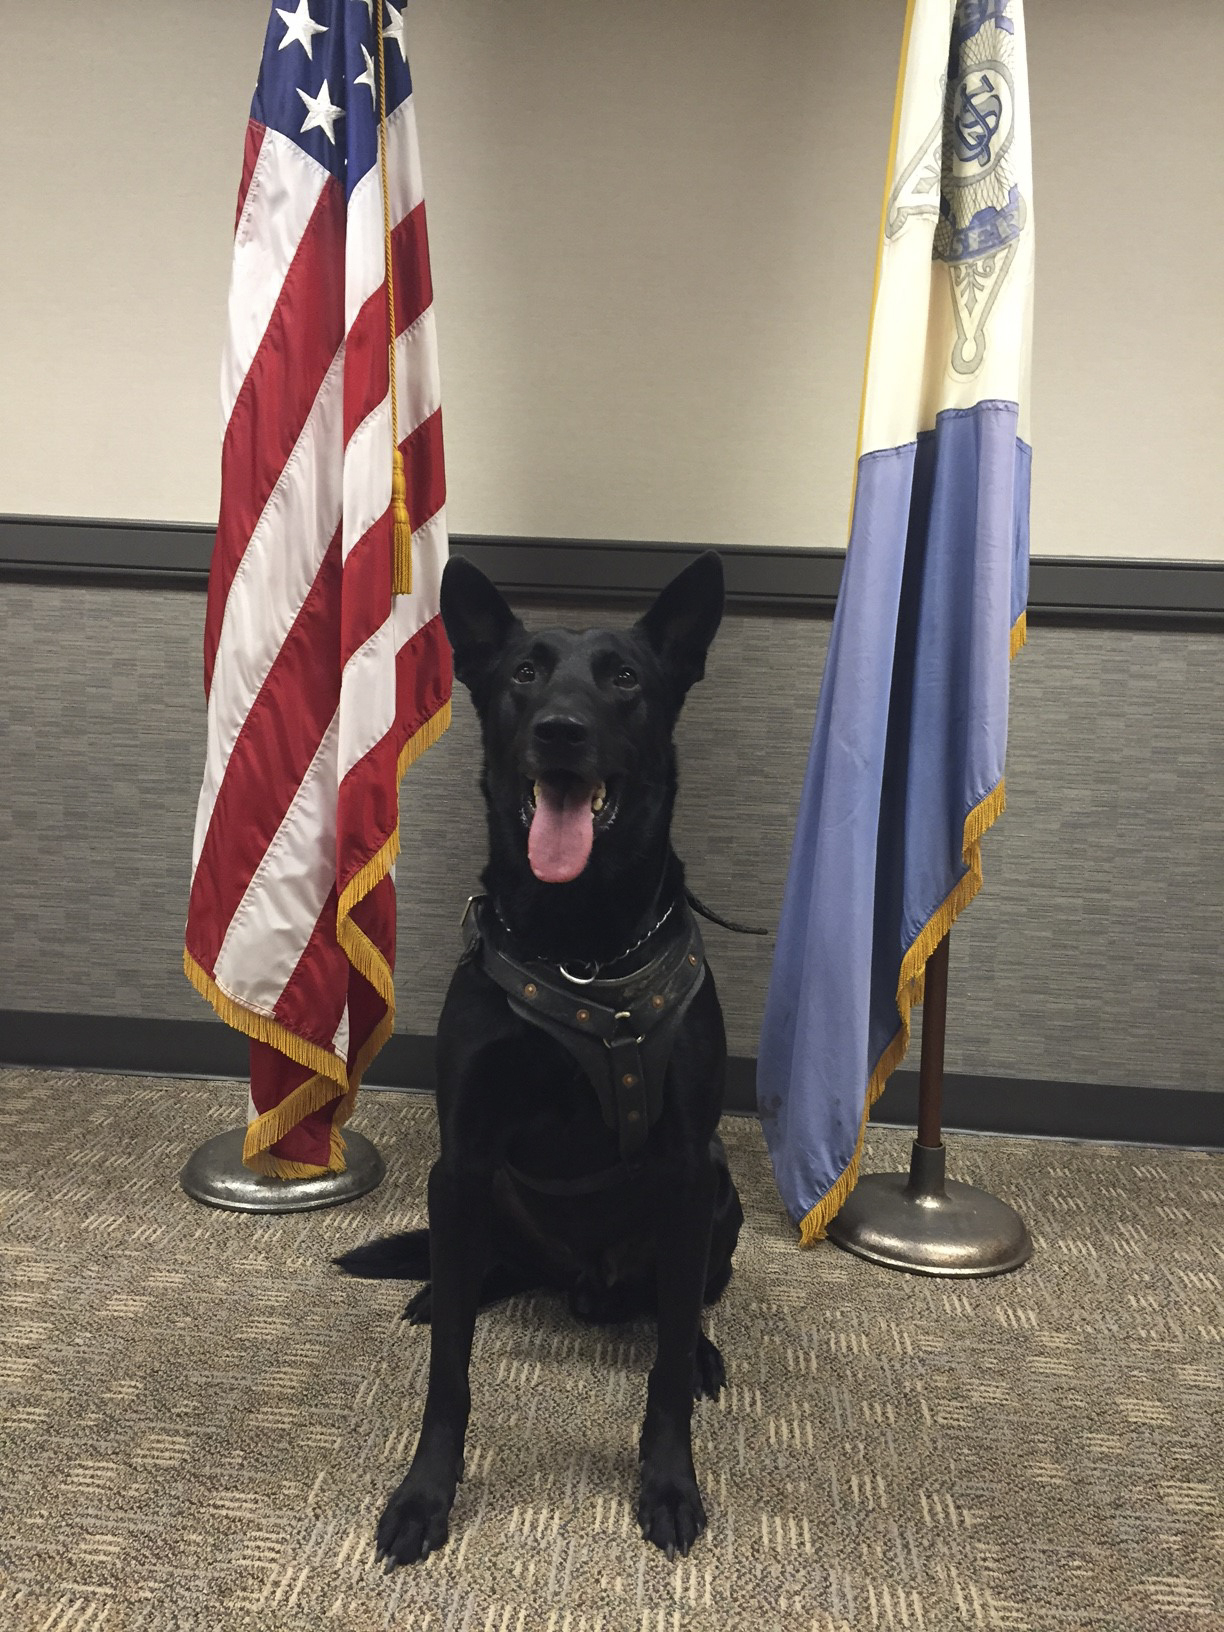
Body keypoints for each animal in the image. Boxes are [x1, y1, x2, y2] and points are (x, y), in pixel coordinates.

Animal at [337, 551, 747, 1566]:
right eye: (524, 673)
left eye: (626, 678)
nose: (561, 729)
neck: (581, 942)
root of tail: (583, 1286)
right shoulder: (461, 1159)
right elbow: (449, 1373)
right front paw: (425, 1495)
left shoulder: (689, 1166)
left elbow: (665, 1366)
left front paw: (669, 1483)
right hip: (484, 1203)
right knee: (484, 1271)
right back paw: (440, 1287)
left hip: (719, 1197)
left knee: (681, 1304)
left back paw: (702, 1347)